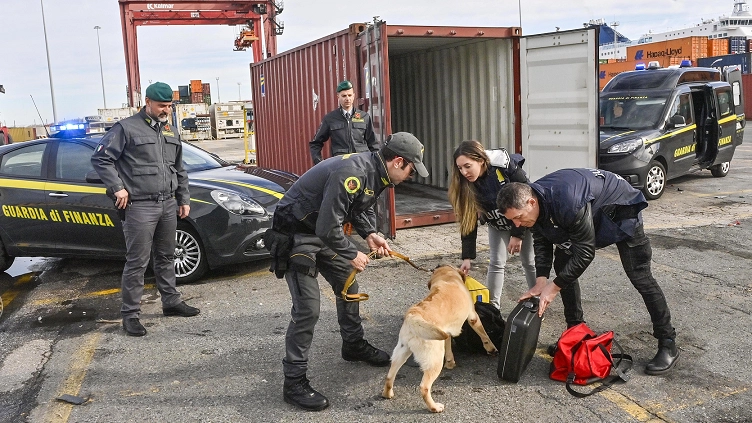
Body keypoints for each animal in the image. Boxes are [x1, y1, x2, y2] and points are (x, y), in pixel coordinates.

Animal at [382, 264, 500, 414]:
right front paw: (491, 348)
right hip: (434, 360)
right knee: (424, 387)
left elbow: (448, 347)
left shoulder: (446, 332)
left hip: (401, 352)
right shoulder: (473, 317)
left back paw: (387, 394)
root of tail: (413, 315)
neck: (447, 277)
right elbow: (484, 334)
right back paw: (434, 407)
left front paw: (450, 362)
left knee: (389, 376)